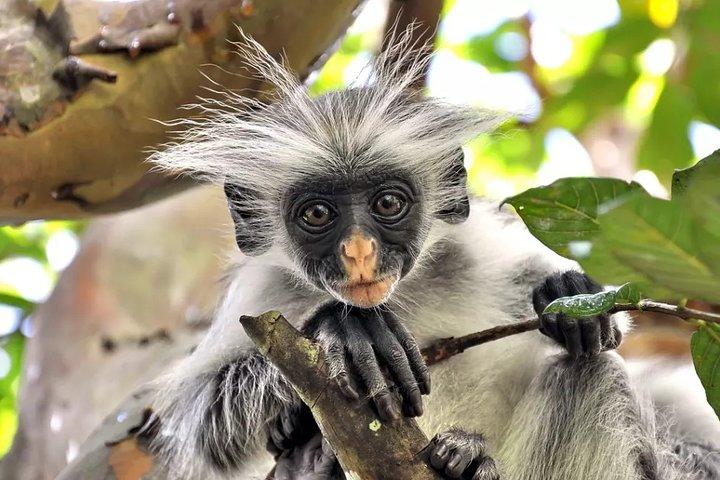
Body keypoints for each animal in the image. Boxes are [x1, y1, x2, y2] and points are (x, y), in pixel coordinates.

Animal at [147, 29, 720, 480]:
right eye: (317, 214)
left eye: (388, 203)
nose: (359, 252)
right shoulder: (262, 288)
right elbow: (201, 422)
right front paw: (346, 330)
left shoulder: (474, 246)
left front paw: (568, 292)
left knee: (590, 370)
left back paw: (467, 461)